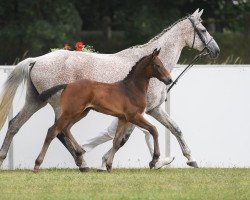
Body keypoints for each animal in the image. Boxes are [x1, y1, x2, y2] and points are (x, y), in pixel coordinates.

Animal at [33, 48, 172, 172]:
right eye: (157, 65)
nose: (169, 80)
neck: (132, 89)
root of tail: (67, 85)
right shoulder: (133, 116)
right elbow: (153, 129)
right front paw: (154, 160)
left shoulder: (123, 118)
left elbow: (117, 141)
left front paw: (109, 166)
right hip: (71, 112)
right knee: (53, 130)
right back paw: (37, 165)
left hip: (81, 112)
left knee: (66, 128)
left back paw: (80, 151)